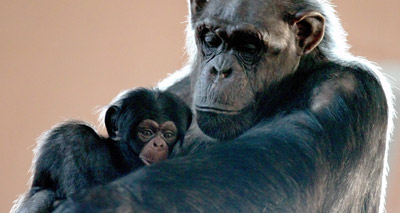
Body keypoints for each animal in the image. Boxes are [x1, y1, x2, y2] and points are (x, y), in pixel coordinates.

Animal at [12, 88, 192, 213]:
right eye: (146, 132)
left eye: (168, 135)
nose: (159, 144)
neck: (120, 159)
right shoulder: (71, 139)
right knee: (43, 196)